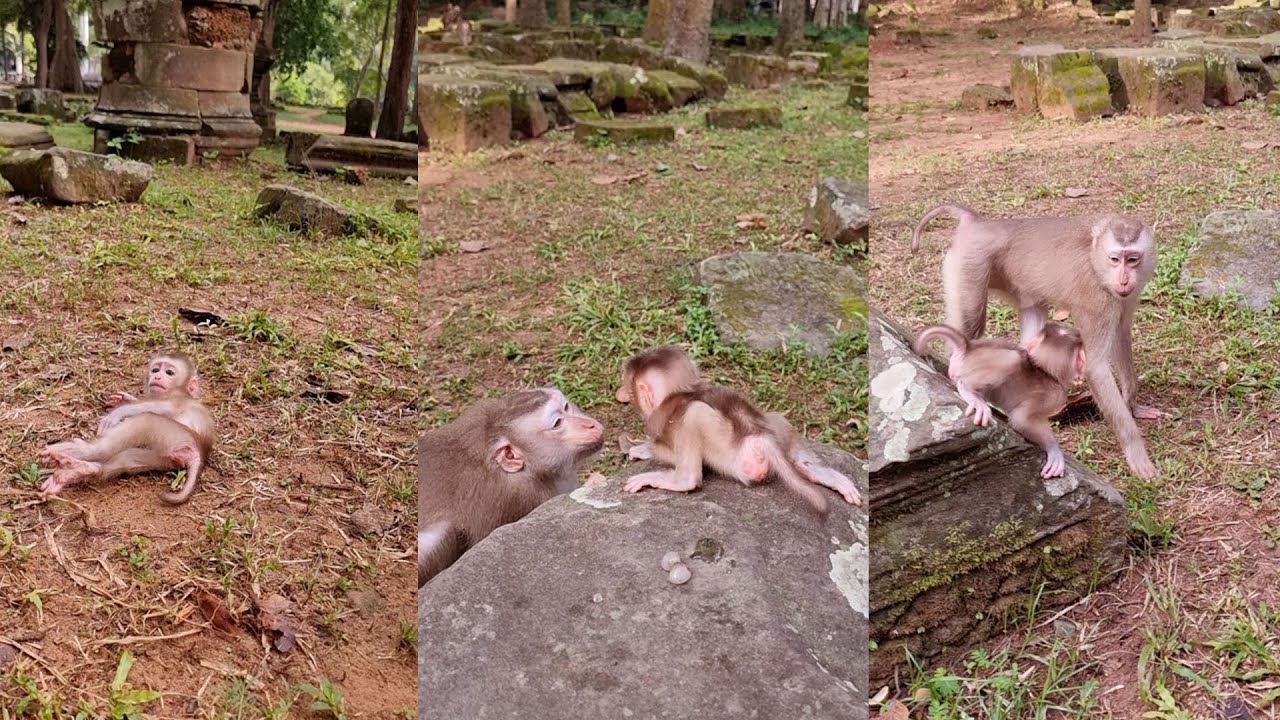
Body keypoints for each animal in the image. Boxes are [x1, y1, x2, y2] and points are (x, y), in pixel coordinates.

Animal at [38, 352, 215, 504]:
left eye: (170, 372)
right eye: (155, 369)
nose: (157, 376)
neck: (180, 392)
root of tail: (200, 454)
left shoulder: (176, 400)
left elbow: (159, 407)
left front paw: (117, 412)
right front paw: (126, 399)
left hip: (176, 436)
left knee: (146, 421)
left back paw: (86, 451)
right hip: (168, 458)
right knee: (129, 457)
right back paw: (83, 469)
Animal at [615, 345, 863, 514]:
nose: (627, 396)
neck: (682, 391)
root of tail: (761, 436)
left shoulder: (658, 420)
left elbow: (664, 449)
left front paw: (644, 449)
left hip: (735, 459)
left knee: (695, 414)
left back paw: (681, 480)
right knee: (777, 419)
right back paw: (821, 473)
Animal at [914, 322, 1086, 479]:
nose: (1083, 367)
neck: (1047, 372)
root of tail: (968, 347)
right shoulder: (1056, 396)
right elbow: (1021, 420)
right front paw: (1054, 450)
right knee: (1013, 358)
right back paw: (970, 392)